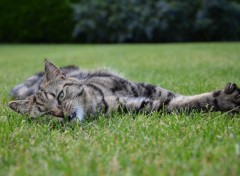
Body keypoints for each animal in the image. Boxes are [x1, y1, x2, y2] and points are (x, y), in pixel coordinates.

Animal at [8, 59, 239, 121]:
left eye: (60, 96)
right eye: (45, 114)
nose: (59, 113)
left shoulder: (146, 88)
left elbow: (180, 98)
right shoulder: (142, 106)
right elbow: (179, 104)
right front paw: (224, 100)